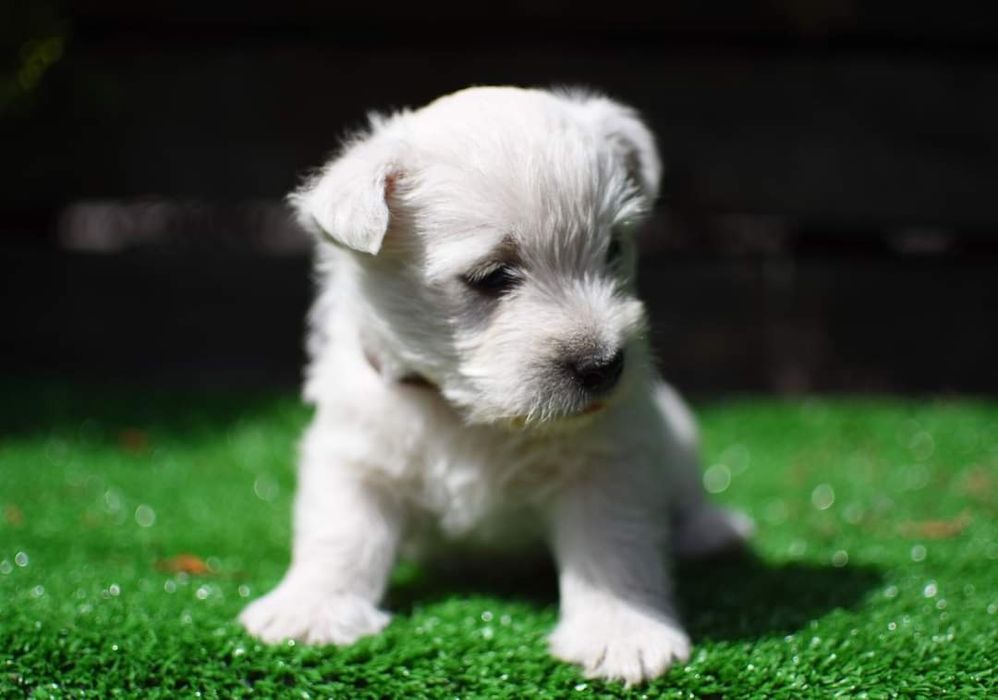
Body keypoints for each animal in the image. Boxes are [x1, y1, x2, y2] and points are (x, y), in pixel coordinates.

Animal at [242, 86, 752, 684]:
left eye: (613, 248)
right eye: (493, 276)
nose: (606, 365)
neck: (471, 415)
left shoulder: (605, 466)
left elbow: (614, 550)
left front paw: (623, 633)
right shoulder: (356, 458)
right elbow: (338, 533)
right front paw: (310, 610)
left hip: (678, 427)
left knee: (688, 492)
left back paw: (712, 531)